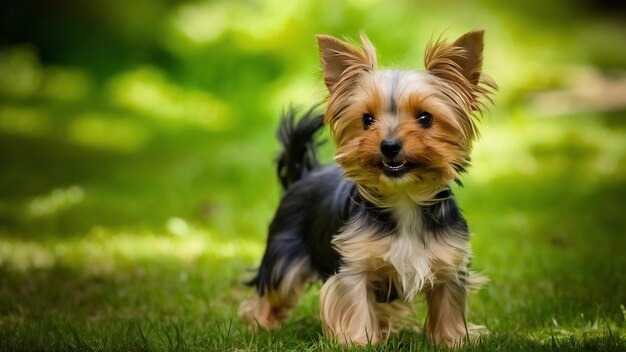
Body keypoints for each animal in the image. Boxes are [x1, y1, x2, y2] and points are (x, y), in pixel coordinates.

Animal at [239, 29, 492, 346]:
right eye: (366, 119)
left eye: (425, 118)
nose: (389, 146)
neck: (404, 198)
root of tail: (305, 173)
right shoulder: (354, 264)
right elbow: (355, 305)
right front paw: (359, 341)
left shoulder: (449, 263)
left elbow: (449, 306)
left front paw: (452, 340)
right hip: (285, 254)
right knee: (272, 289)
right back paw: (261, 326)